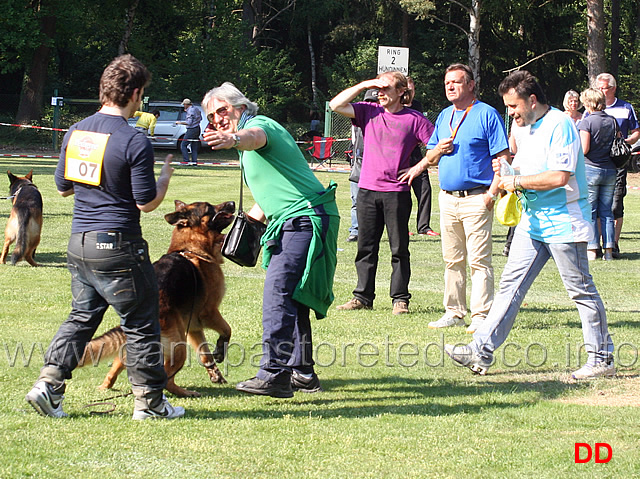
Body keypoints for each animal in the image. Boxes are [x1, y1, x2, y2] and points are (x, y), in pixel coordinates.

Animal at [81, 199, 236, 398]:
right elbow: (227, 330)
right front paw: (220, 351)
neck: (190, 249)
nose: (232, 202)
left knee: (118, 364)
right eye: (209, 207)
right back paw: (184, 392)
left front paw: (215, 374)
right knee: (166, 379)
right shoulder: (208, 313)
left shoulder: (193, 326)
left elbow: (204, 353)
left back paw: (106, 387)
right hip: (179, 346)